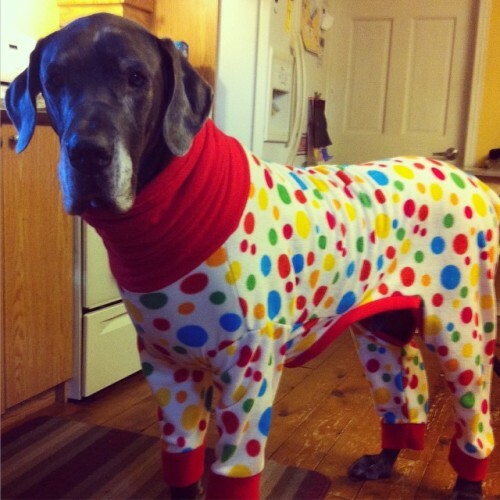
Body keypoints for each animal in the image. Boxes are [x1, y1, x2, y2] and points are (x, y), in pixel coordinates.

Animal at [4, 12, 500, 500]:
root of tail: (470, 180)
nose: (87, 154)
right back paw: (385, 459)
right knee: (404, 385)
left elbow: (233, 474)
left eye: (136, 78)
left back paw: (468, 483)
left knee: (473, 414)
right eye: (55, 79)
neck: (169, 205)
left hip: (460, 336)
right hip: (380, 332)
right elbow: (182, 461)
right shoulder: (166, 369)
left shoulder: (248, 372)